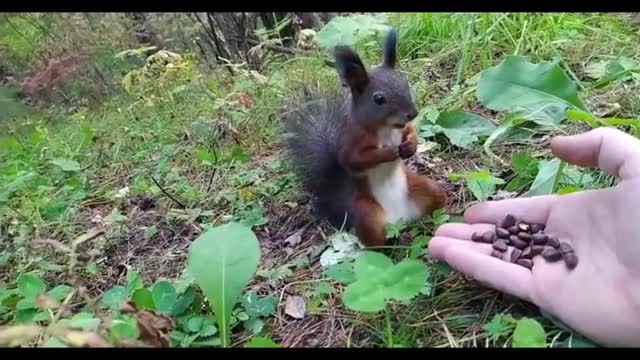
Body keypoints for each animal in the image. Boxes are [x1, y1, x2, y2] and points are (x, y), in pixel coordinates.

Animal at [282, 28, 448, 248]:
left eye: (405, 83)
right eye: (378, 99)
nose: (412, 113)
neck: (386, 128)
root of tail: (400, 219)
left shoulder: (402, 129)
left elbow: (410, 132)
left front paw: (410, 146)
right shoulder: (353, 141)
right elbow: (354, 159)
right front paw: (388, 152)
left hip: (427, 189)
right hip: (367, 215)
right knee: (377, 242)